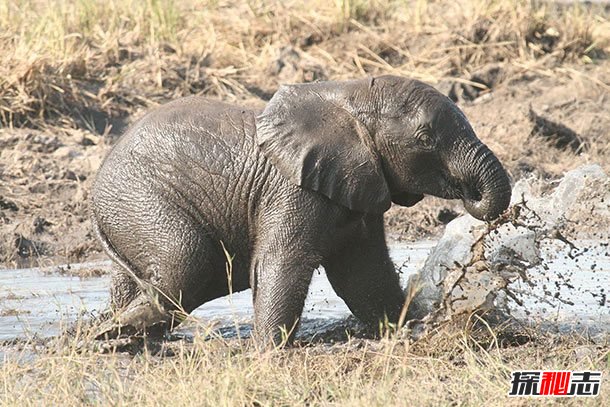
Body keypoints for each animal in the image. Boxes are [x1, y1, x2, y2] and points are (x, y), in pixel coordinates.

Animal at [89, 75, 508, 348]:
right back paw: (109, 334)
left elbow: (364, 276)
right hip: (139, 197)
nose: (468, 197)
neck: (348, 96)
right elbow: (282, 262)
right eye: (424, 139)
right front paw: (268, 353)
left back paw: (119, 336)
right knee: (187, 261)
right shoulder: (293, 190)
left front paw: (409, 329)